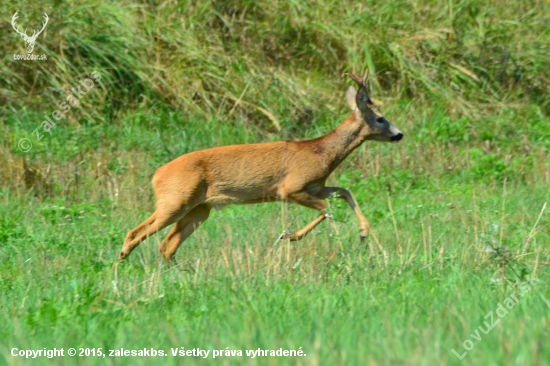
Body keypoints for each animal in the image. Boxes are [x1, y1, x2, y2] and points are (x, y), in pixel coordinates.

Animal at [119, 70, 406, 264]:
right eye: (380, 118)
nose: (399, 134)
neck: (321, 152)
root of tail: (157, 175)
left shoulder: (315, 186)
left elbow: (344, 192)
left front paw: (363, 232)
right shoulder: (291, 187)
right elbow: (327, 209)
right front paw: (289, 236)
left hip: (199, 208)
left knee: (167, 244)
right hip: (175, 200)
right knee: (136, 232)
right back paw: (121, 261)